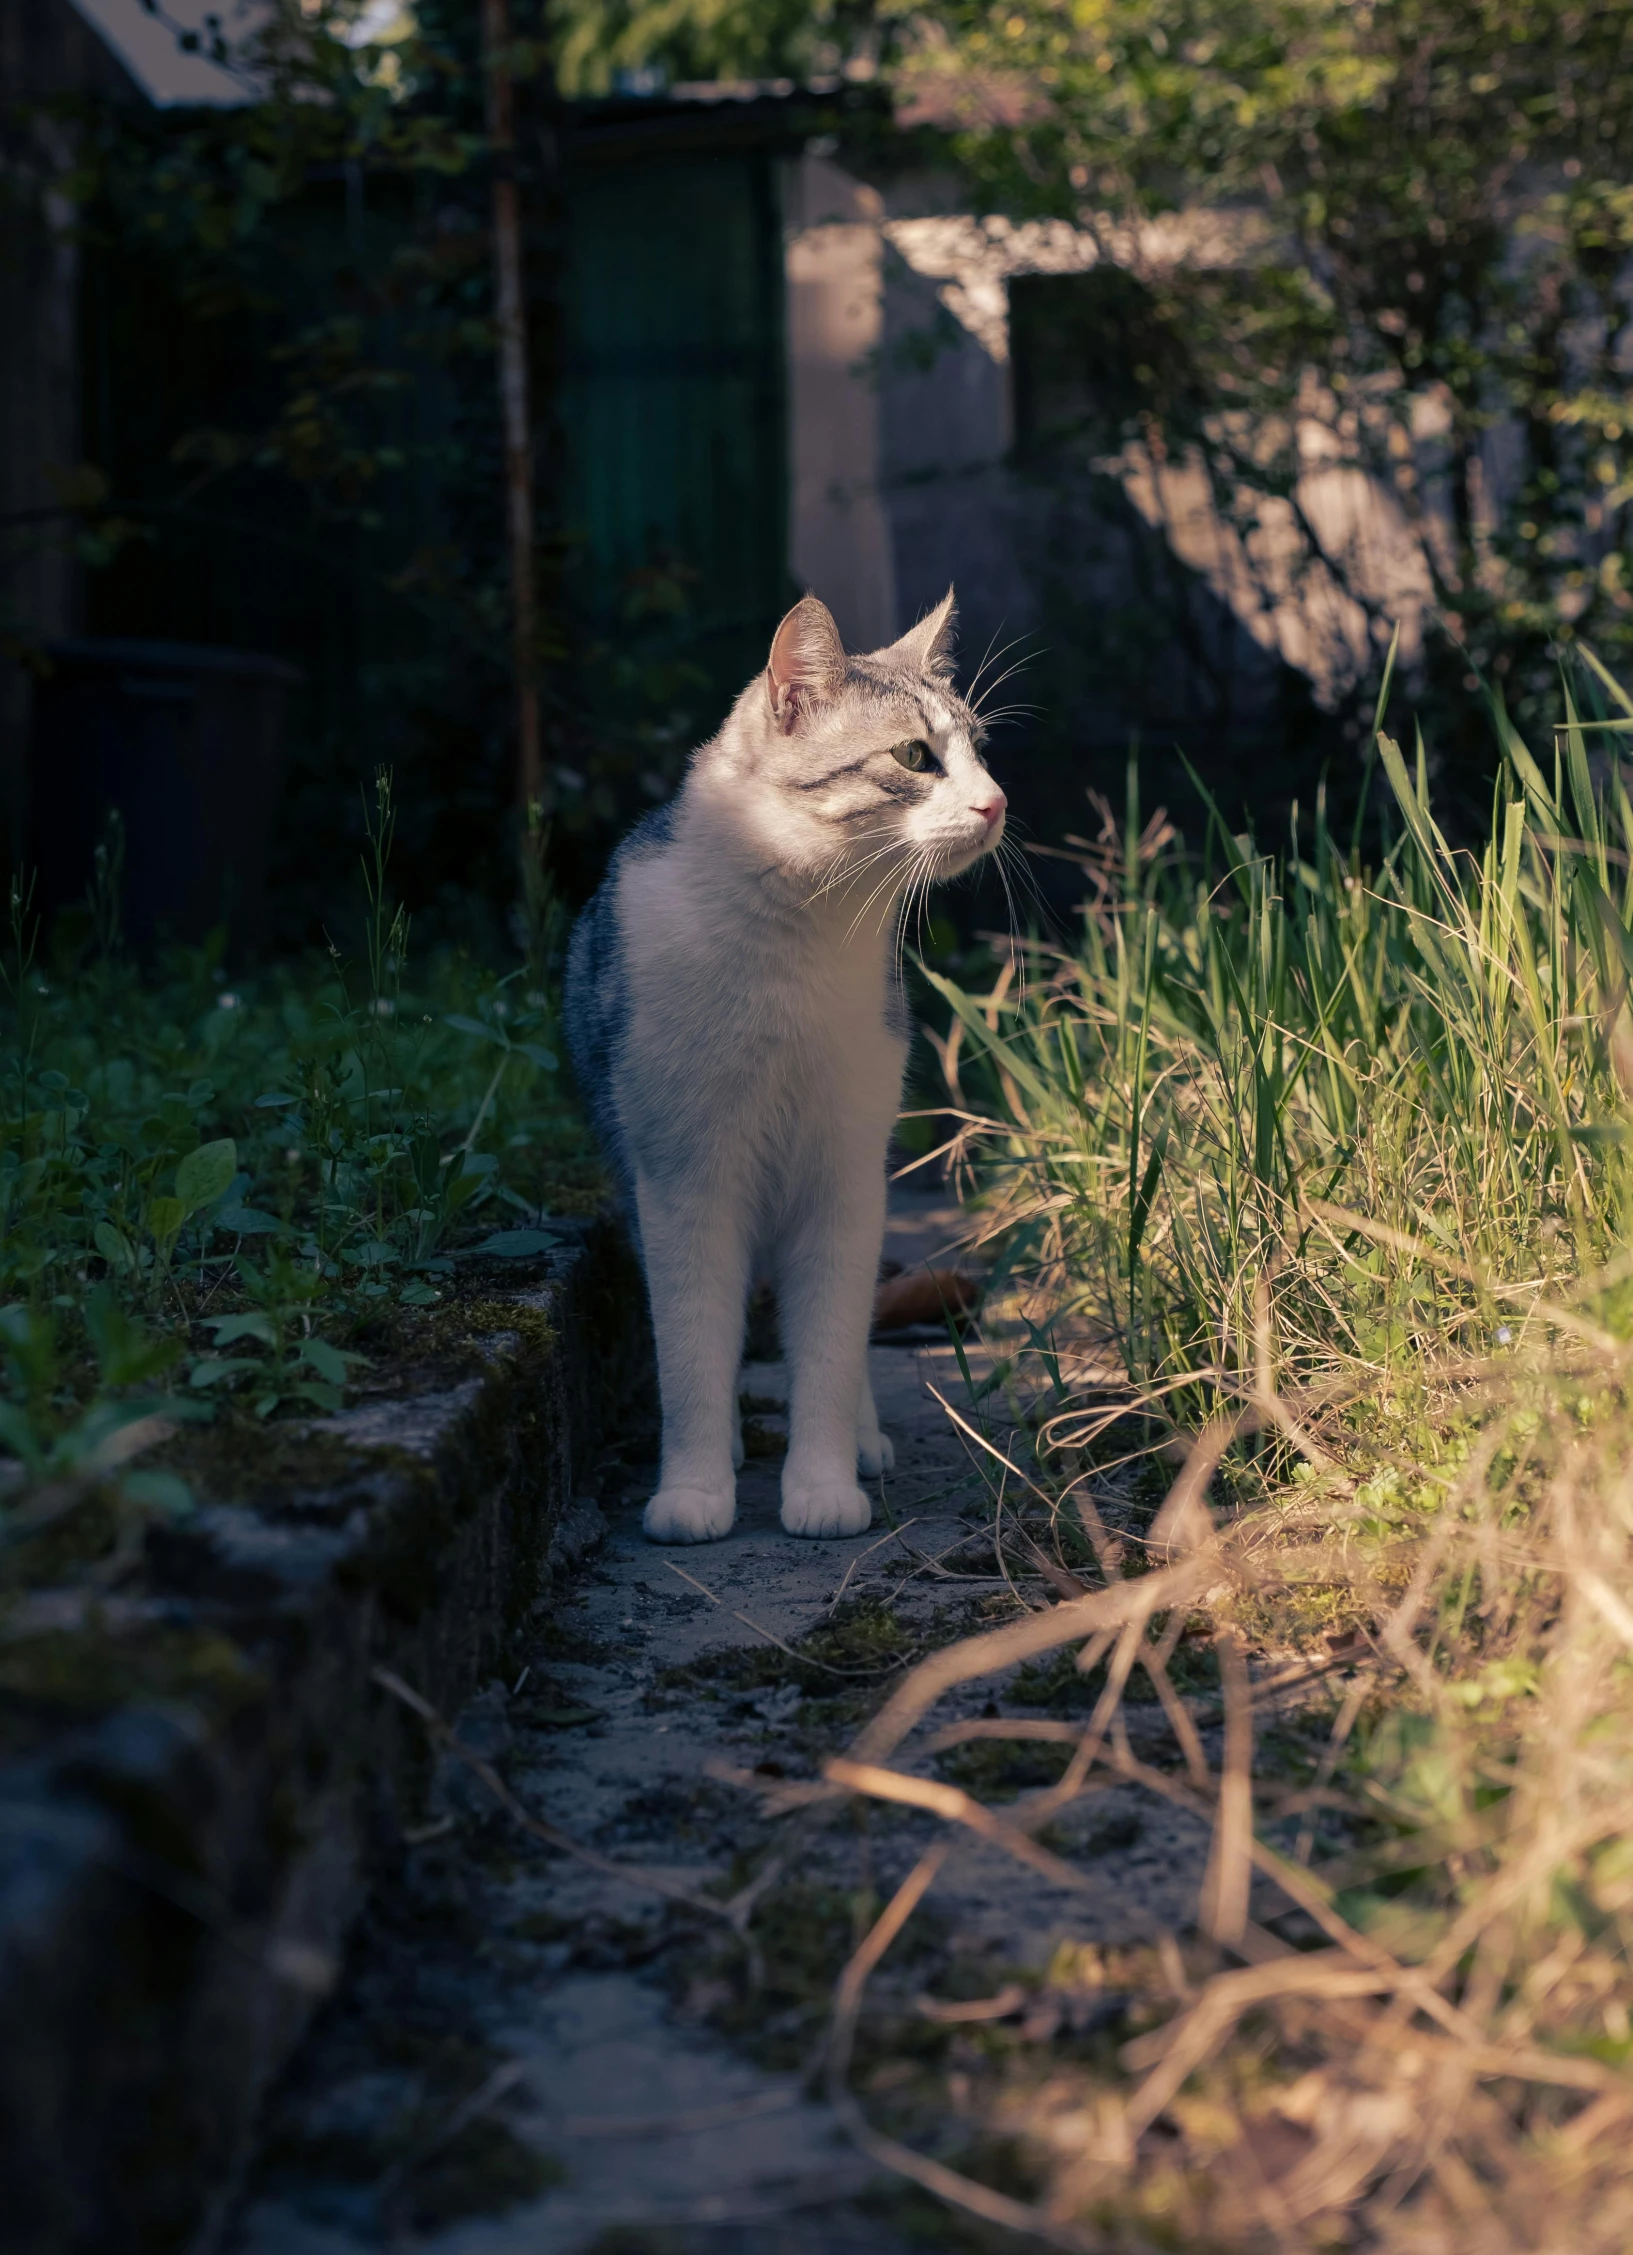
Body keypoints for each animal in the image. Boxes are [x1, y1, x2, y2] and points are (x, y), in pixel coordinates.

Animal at [563, 590, 1005, 1542]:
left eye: (980, 749)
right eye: (914, 756)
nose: (996, 802)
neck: (799, 930)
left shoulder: (845, 1177)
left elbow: (831, 1349)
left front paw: (824, 1483)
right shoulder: (683, 1179)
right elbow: (692, 1348)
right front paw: (694, 1489)